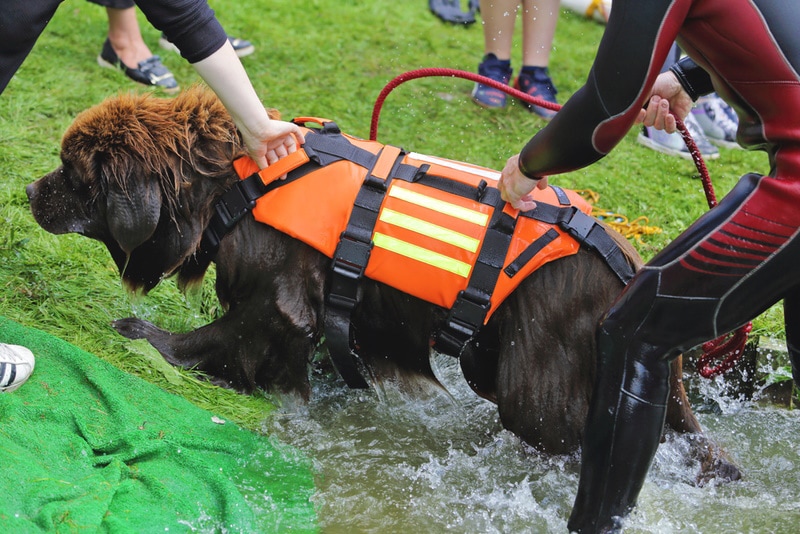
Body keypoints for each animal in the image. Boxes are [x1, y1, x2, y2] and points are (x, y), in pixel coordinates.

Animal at [25, 88, 736, 482]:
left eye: (71, 172)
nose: (29, 190)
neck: (232, 181)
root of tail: (630, 267)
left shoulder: (278, 299)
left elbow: (221, 336)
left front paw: (144, 337)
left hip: (537, 385)